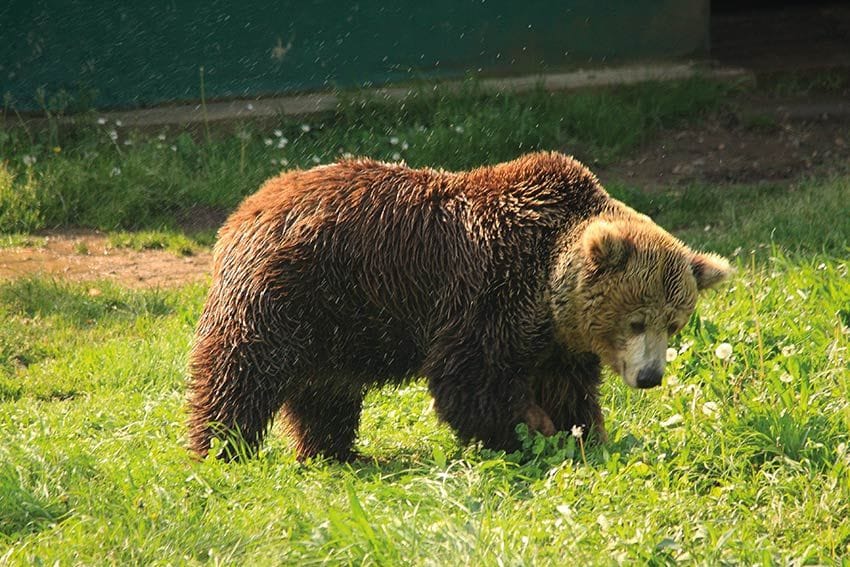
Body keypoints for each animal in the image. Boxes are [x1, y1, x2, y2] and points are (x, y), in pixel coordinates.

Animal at [187, 152, 728, 462]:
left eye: (674, 324)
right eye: (636, 321)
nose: (650, 376)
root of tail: (249, 204)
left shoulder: (555, 337)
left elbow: (567, 387)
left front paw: (583, 434)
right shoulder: (488, 287)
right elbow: (470, 380)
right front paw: (532, 430)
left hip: (339, 321)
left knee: (327, 390)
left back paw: (334, 452)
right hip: (291, 290)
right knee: (241, 371)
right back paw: (221, 447)